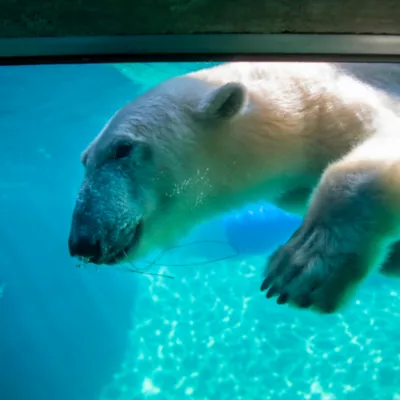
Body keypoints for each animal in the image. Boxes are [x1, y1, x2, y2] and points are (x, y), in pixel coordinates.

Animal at [69, 61, 400, 314]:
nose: (82, 242)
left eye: (122, 149)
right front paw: (391, 259)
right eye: (85, 160)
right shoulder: (293, 186)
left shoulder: (341, 104)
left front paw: (299, 271)